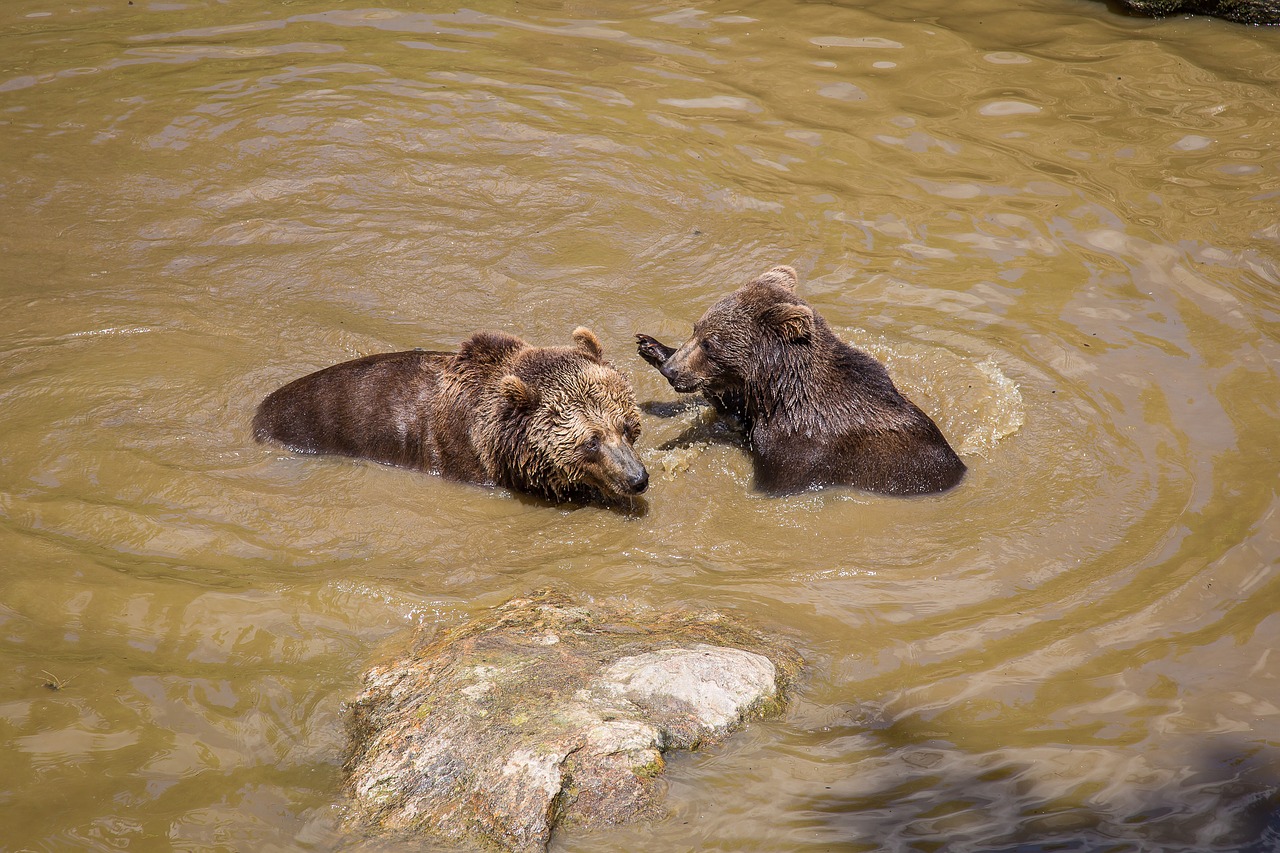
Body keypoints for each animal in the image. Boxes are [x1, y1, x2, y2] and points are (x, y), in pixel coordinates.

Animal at [634, 262, 962, 494]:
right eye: (696, 329)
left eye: (709, 344)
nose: (672, 370)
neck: (779, 392)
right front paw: (651, 346)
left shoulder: (800, 449)